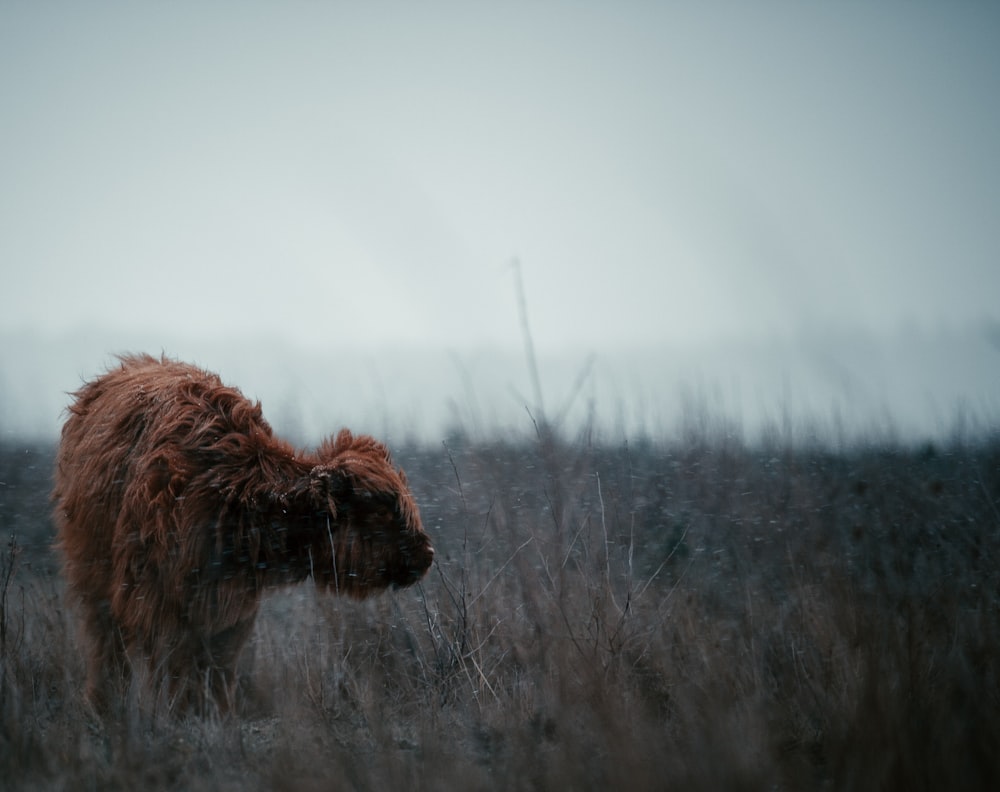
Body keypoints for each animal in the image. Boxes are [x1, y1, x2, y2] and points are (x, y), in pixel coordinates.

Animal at [52, 352, 432, 712]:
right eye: (380, 509)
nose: (426, 554)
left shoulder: (230, 613)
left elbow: (218, 672)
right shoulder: (158, 601)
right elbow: (172, 670)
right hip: (94, 579)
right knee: (106, 649)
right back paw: (104, 707)